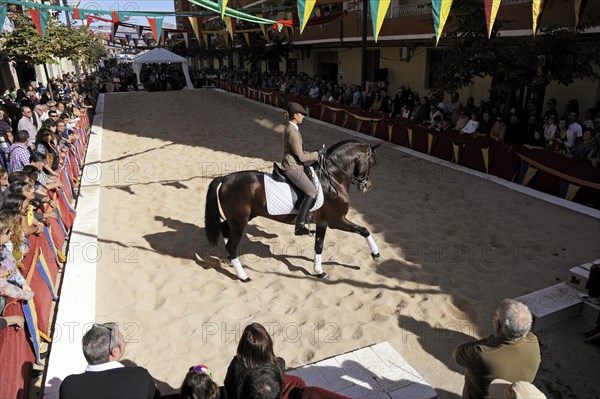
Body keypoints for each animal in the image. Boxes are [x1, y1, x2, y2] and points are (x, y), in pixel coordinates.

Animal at [204, 140, 378, 282]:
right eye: (372, 163)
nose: (368, 185)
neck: (332, 179)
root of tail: (225, 178)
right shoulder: (337, 221)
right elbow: (364, 230)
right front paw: (376, 254)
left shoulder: (323, 222)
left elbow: (319, 245)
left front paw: (319, 271)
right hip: (240, 221)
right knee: (232, 245)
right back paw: (243, 276)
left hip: (240, 218)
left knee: (224, 229)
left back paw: (230, 260)